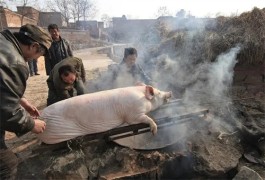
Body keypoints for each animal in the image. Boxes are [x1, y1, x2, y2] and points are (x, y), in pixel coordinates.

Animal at [37, 85, 171, 144]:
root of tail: (41, 118)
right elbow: (144, 119)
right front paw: (154, 131)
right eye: (158, 93)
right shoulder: (133, 114)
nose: (170, 92)